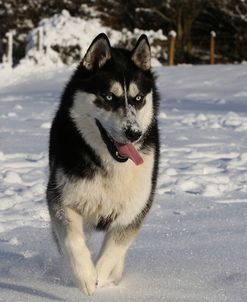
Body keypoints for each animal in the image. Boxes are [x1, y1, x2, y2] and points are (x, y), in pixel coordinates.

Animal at [46, 33, 160, 294]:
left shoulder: (134, 210)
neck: (110, 164)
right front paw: (86, 276)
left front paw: (101, 276)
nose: (134, 133)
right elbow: (72, 240)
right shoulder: (61, 198)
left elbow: (113, 251)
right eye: (108, 97)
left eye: (138, 98)